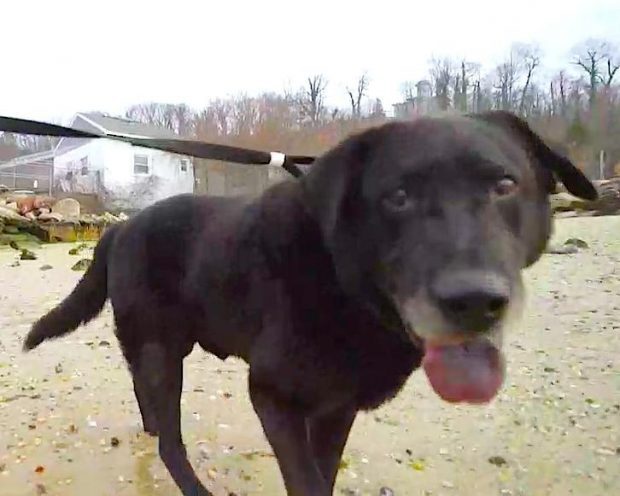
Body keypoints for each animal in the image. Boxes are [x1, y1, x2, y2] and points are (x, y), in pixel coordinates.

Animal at [23, 112, 596, 496]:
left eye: (504, 185)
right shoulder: (273, 397)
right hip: (164, 349)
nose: (473, 300)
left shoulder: (336, 409)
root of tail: (118, 228)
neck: (342, 284)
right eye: (398, 197)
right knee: (170, 442)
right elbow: (307, 481)